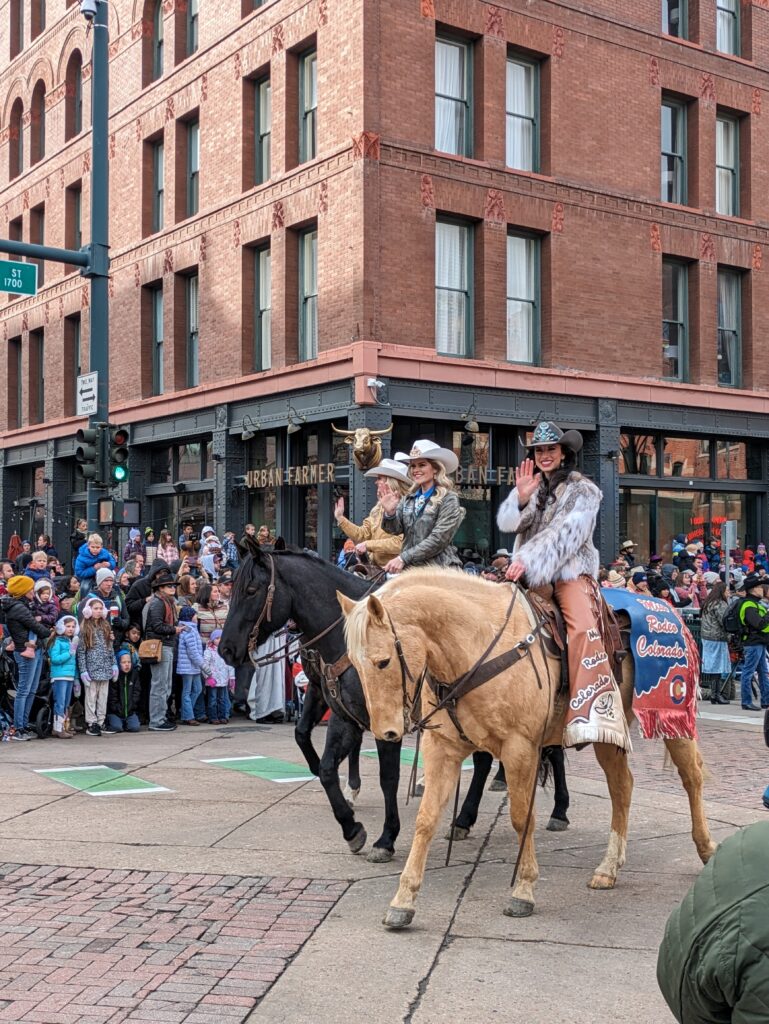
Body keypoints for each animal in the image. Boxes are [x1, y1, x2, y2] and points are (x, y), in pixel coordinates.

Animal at [337, 569, 716, 929]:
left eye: (383, 661)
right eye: (354, 662)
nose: (385, 732)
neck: (477, 648)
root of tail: (669, 609)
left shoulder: (519, 748)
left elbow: (522, 817)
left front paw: (523, 889)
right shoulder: (442, 748)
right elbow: (426, 819)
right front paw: (403, 900)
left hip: (672, 717)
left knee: (692, 776)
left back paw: (706, 848)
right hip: (609, 733)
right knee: (622, 787)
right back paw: (608, 868)